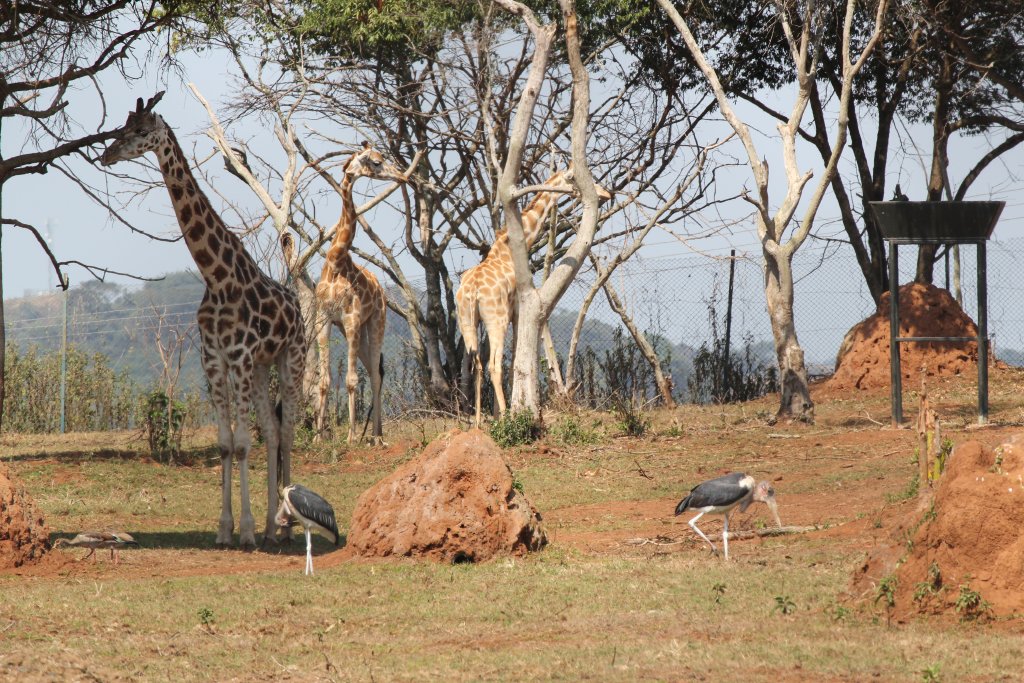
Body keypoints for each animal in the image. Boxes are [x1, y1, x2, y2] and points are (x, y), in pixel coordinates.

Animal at [101, 93, 306, 549]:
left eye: (140, 130)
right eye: (121, 127)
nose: (106, 154)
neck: (217, 277)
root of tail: (299, 306)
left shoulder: (240, 356)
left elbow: (243, 443)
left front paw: (245, 531)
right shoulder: (214, 359)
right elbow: (227, 444)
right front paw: (226, 529)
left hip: (291, 359)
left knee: (286, 430)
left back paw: (285, 523)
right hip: (262, 365)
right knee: (271, 428)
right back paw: (272, 526)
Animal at [315, 142, 404, 445]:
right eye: (377, 162)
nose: (402, 175)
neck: (335, 262)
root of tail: (381, 291)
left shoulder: (352, 318)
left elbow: (351, 380)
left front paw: (351, 437)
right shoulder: (324, 321)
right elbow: (324, 380)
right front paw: (318, 437)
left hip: (375, 323)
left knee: (374, 375)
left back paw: (376, 436)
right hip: (354, 331)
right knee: (373, 370)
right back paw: (374, 433)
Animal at [455, 168, 611, 426]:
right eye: (575, 178)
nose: (606, 193)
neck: (507, 249)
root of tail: (473, 291)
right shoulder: (517, 311)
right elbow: (515, 362)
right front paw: (507, 411)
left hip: (467, 320)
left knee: (475, 364)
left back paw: (476, 422)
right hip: (496, 319)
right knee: (493, 365)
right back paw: (506, 417)